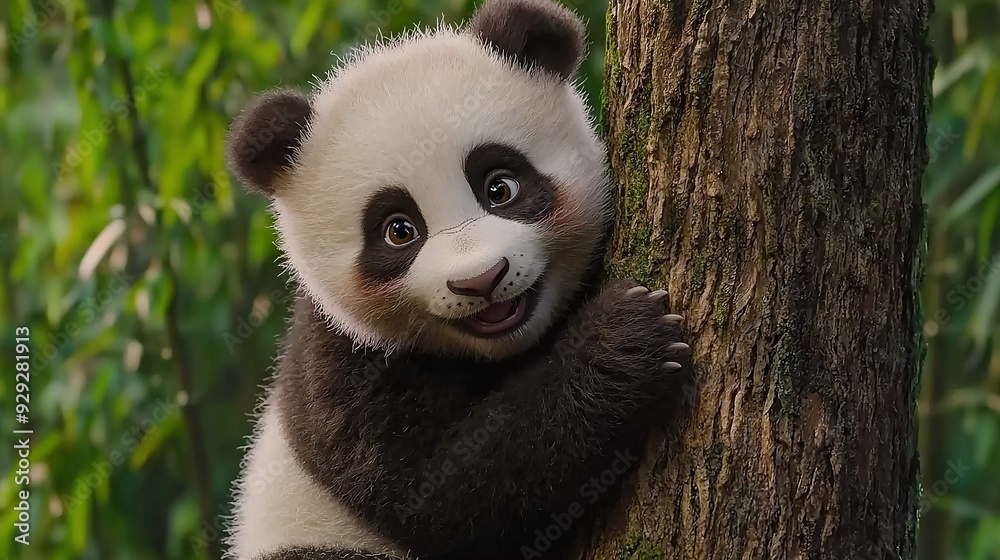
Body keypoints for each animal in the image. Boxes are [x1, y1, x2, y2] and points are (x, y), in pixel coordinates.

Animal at [223, 0, 690, 558]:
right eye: (398, 230)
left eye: (500, 188)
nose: (482, 280)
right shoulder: (342, 369)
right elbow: (443, 488)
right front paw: (624, 341)